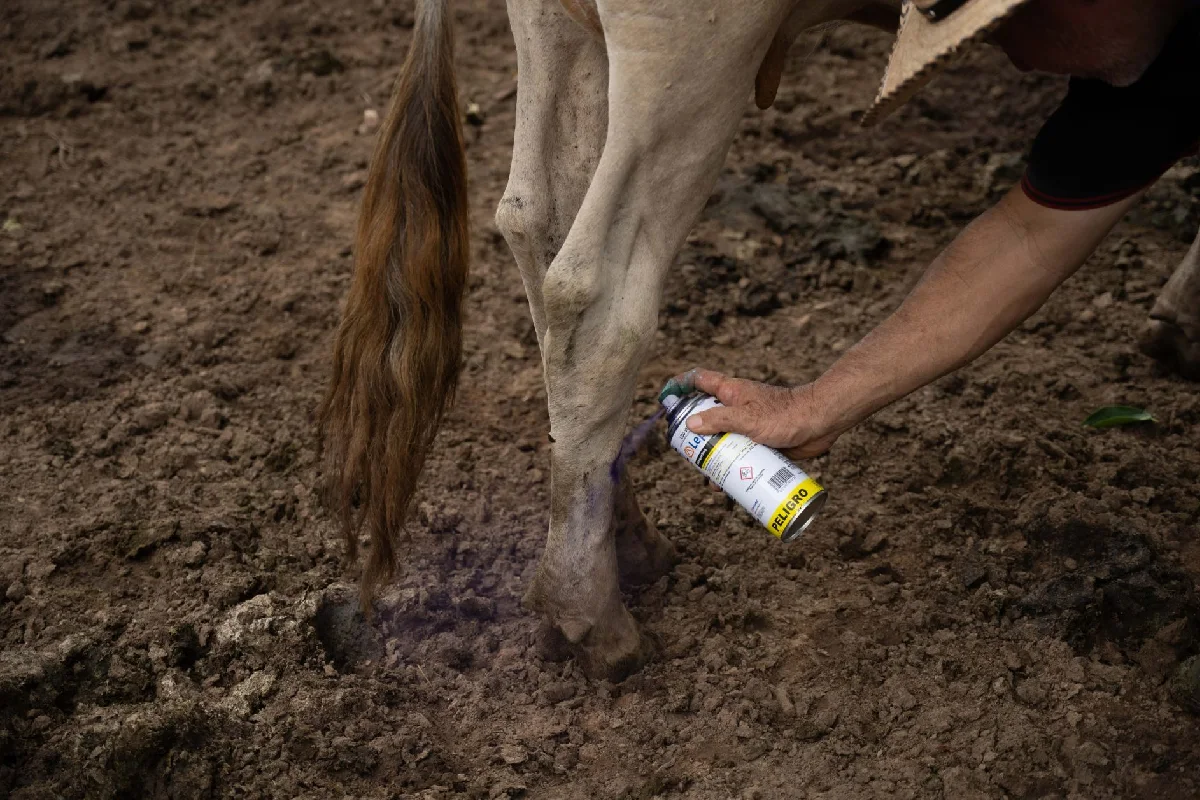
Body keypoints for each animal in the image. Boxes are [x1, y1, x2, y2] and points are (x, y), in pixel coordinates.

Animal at [319, 0, 1200, 679]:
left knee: (537, 221)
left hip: (561, 31)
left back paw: (625, 536)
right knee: (594, 290)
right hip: (693, 55)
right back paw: (591, 614)